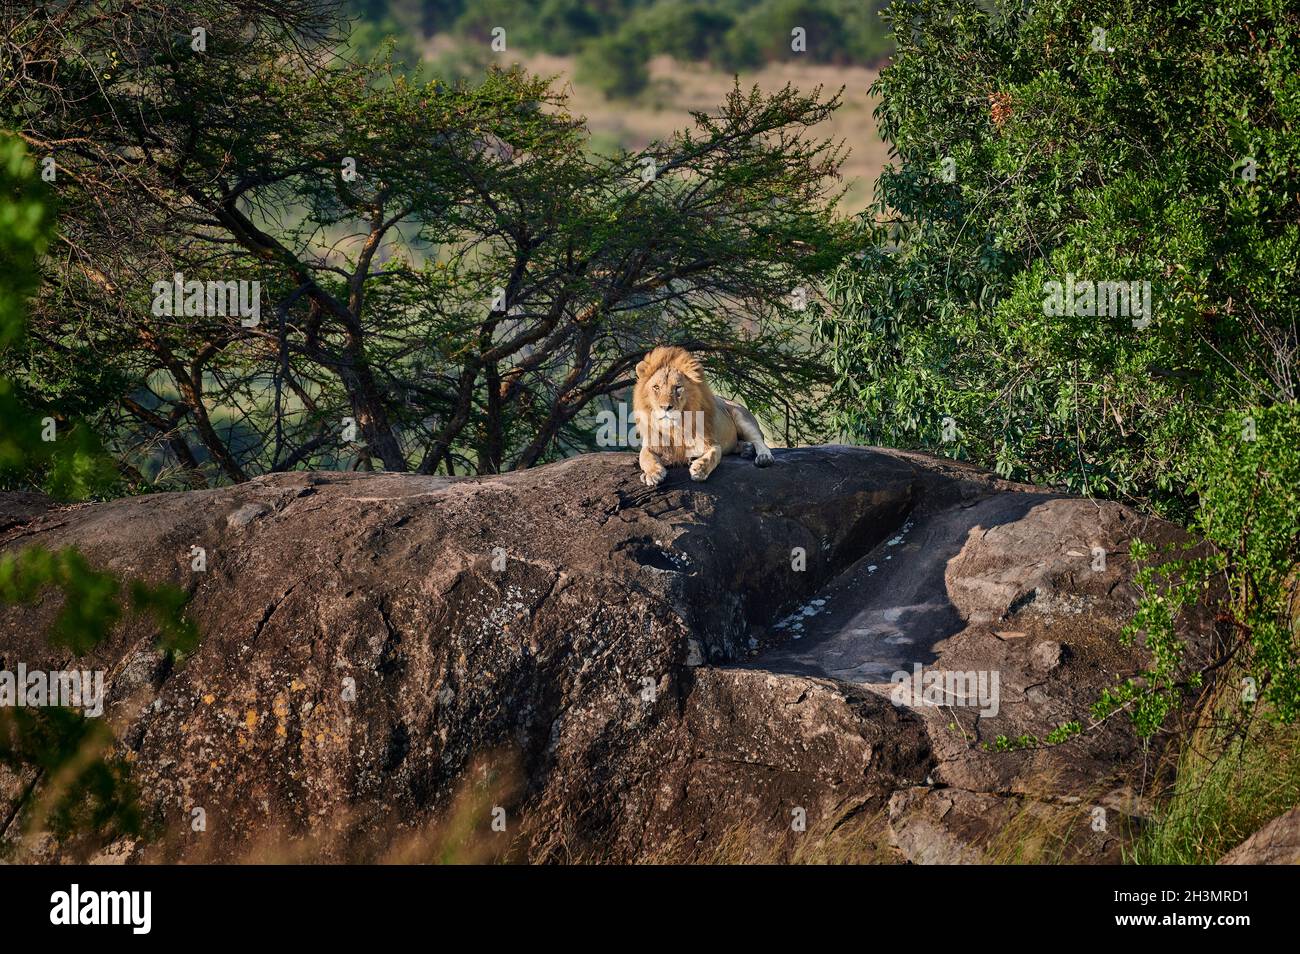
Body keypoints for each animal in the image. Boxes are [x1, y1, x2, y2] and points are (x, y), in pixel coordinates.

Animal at [631, 345, 769, 486]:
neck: (674, 428)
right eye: (656, 387)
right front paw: (653, 473)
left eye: (678, 387)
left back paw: (764, 457)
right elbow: (645, 457)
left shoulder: (711, 443)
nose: (665, 407)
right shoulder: (650, 444)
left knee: (759, 440)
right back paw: (747, 449)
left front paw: (700, 469)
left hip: (741, 416)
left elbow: (712, 456)